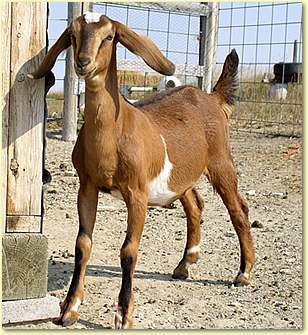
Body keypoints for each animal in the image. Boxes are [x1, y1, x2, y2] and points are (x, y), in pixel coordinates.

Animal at [28, 13, 255, 330]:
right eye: (72, 35)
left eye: (110, 36)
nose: (83, 62)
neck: (114, 135)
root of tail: (212, 98)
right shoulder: (87, 187)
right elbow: (82, 244)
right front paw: (69, 309)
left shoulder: (137, 193)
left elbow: (129, 250)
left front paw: (124, 314)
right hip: (181, 177)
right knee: (195, 205)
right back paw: (185, 264)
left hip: (221, 161)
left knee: (238, 209)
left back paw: (244, 273)